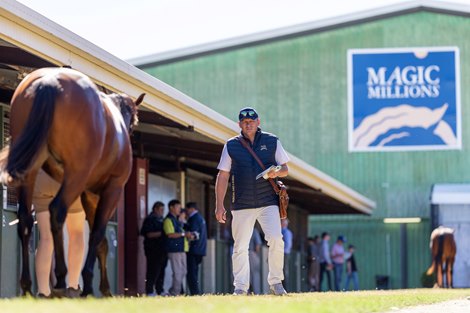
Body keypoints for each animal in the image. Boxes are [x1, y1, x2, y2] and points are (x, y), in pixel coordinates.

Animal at [0, 67, 144, 296]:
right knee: (57, 210)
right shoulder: (112, 189)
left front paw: (102, 287)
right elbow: (97, 234)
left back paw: (27, 286)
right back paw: (60, 279)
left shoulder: (89, 194)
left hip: (31, 171)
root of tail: (50, 81)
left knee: (24, 220)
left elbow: (101, 241)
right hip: (76, 175)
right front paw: (93, 286)